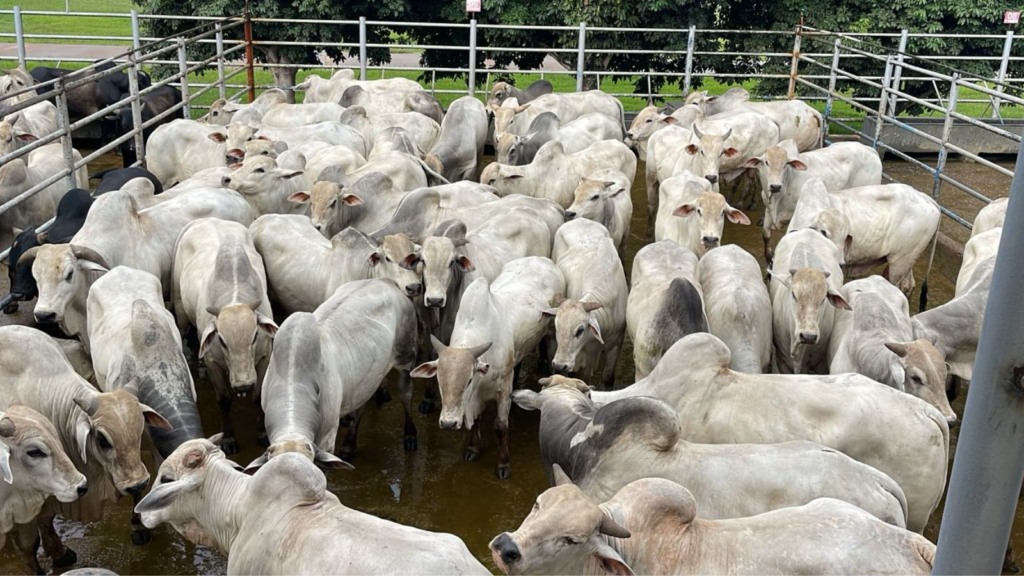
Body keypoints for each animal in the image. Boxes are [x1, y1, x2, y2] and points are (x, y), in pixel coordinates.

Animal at [409, 258, 569, 477]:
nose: (448, 423)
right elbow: (476, 420)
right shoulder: (475, 398)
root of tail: (543, 259)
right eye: (439, 381)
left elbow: (500, 426)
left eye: (468, 380)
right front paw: (473, 448)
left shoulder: (503, 388)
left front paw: (503, 463)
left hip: (552, 334)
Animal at [548, 218, 626, 385]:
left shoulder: (616, 345)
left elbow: (608, 378)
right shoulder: (586, 352)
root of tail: (581, 219)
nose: (559, 365)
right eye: (557, 327)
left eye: (580, 330)